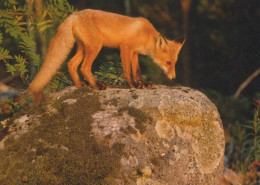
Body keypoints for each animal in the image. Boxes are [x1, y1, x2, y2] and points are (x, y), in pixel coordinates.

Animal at [28, 8, 186, 101]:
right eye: (168, 63)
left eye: (174, 63)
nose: (173, 78)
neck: (146, 36)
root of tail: (73, 15)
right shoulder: (125, 48)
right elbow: (128, 71)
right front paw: (134, 85)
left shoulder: (134, 53)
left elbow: (137, 71)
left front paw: (143, 84)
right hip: (95, 47)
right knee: (84, 67)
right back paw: (96, 86)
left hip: (83, 48)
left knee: (71, 64)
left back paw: (80, 84)